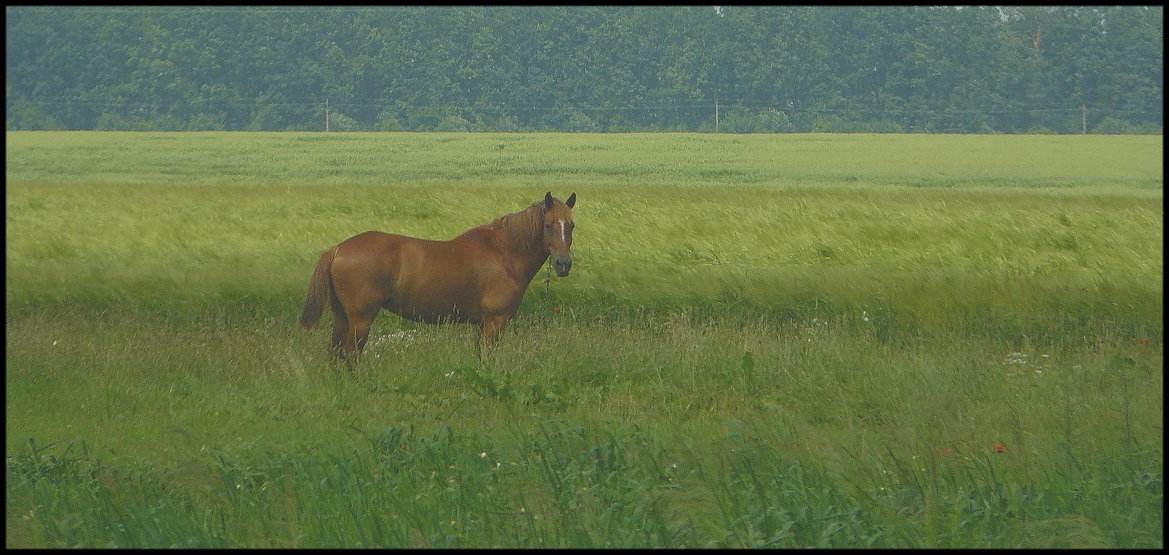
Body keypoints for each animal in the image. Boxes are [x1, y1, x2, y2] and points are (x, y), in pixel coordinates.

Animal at [301, 192, 575, 362]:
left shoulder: (481, 324)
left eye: (571, 226)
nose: (563, 265)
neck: (504, 252)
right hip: (361, 318)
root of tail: (337, 249)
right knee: (351, 353)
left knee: (335, 351)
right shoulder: (495, 321)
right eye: (548, 225)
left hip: (342, 316)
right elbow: (489, 358)